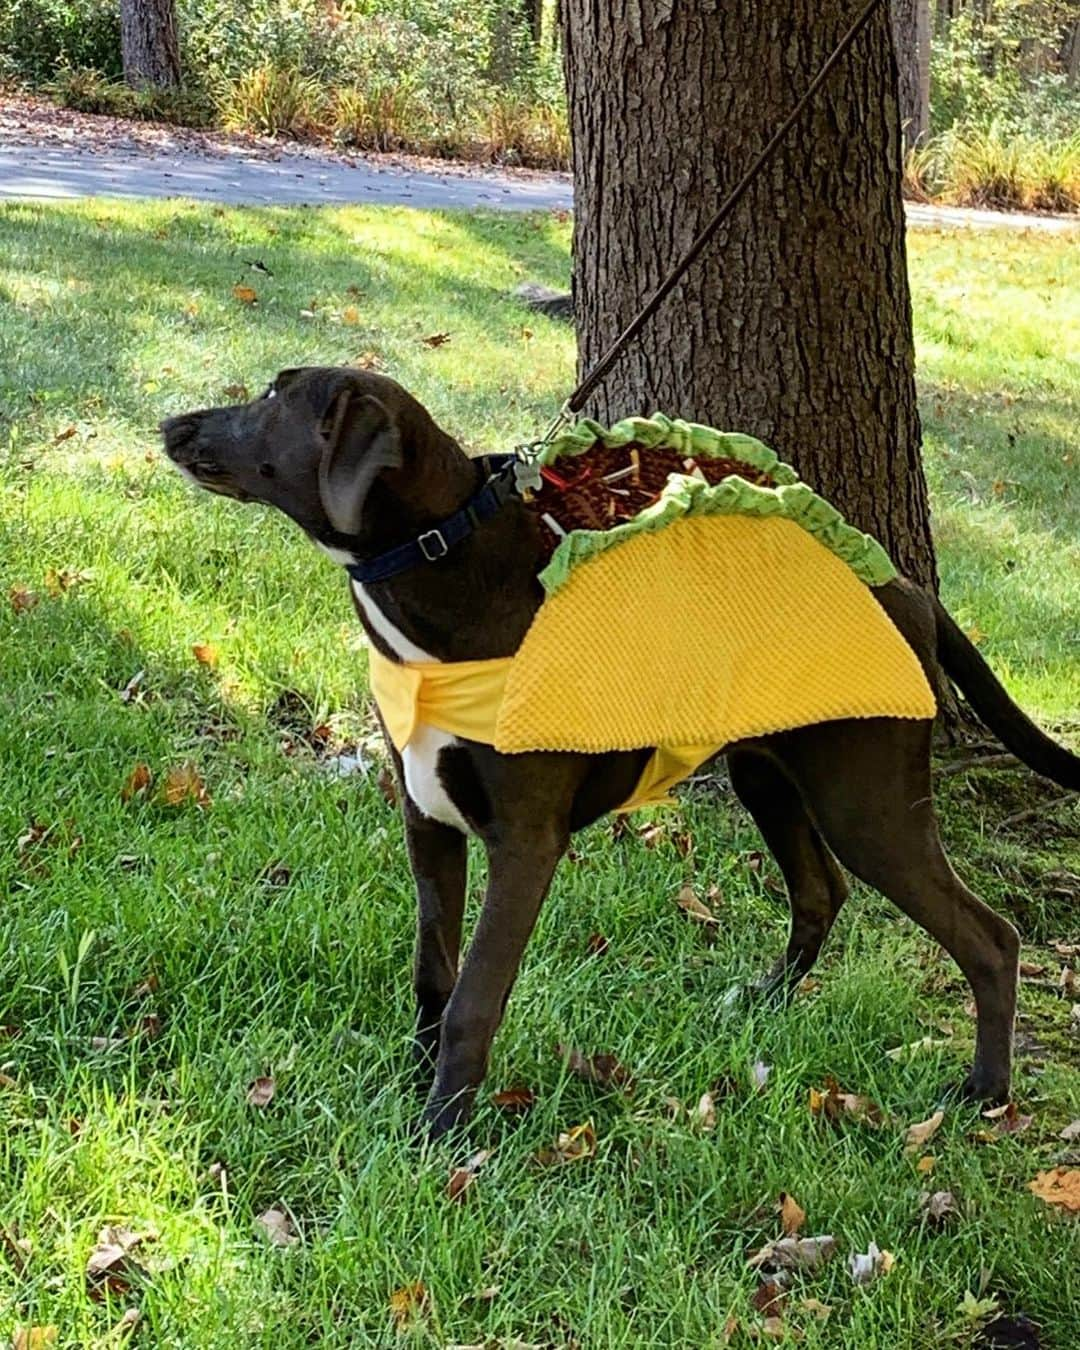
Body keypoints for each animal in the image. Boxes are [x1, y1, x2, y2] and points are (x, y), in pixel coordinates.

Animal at [160, 367, 1080, 1139]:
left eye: (275, 398)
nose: (171, 423)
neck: (445, 562)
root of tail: (907, 589)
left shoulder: (525, 844)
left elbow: (474, 997)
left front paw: (441, 1133)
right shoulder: (428, 820)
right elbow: (433, 974)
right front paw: (412, 1086)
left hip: (867, 799)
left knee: (989, 937)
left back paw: (985, 1092)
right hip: (766, 773)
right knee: (823, 892)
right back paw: (764, 1003)